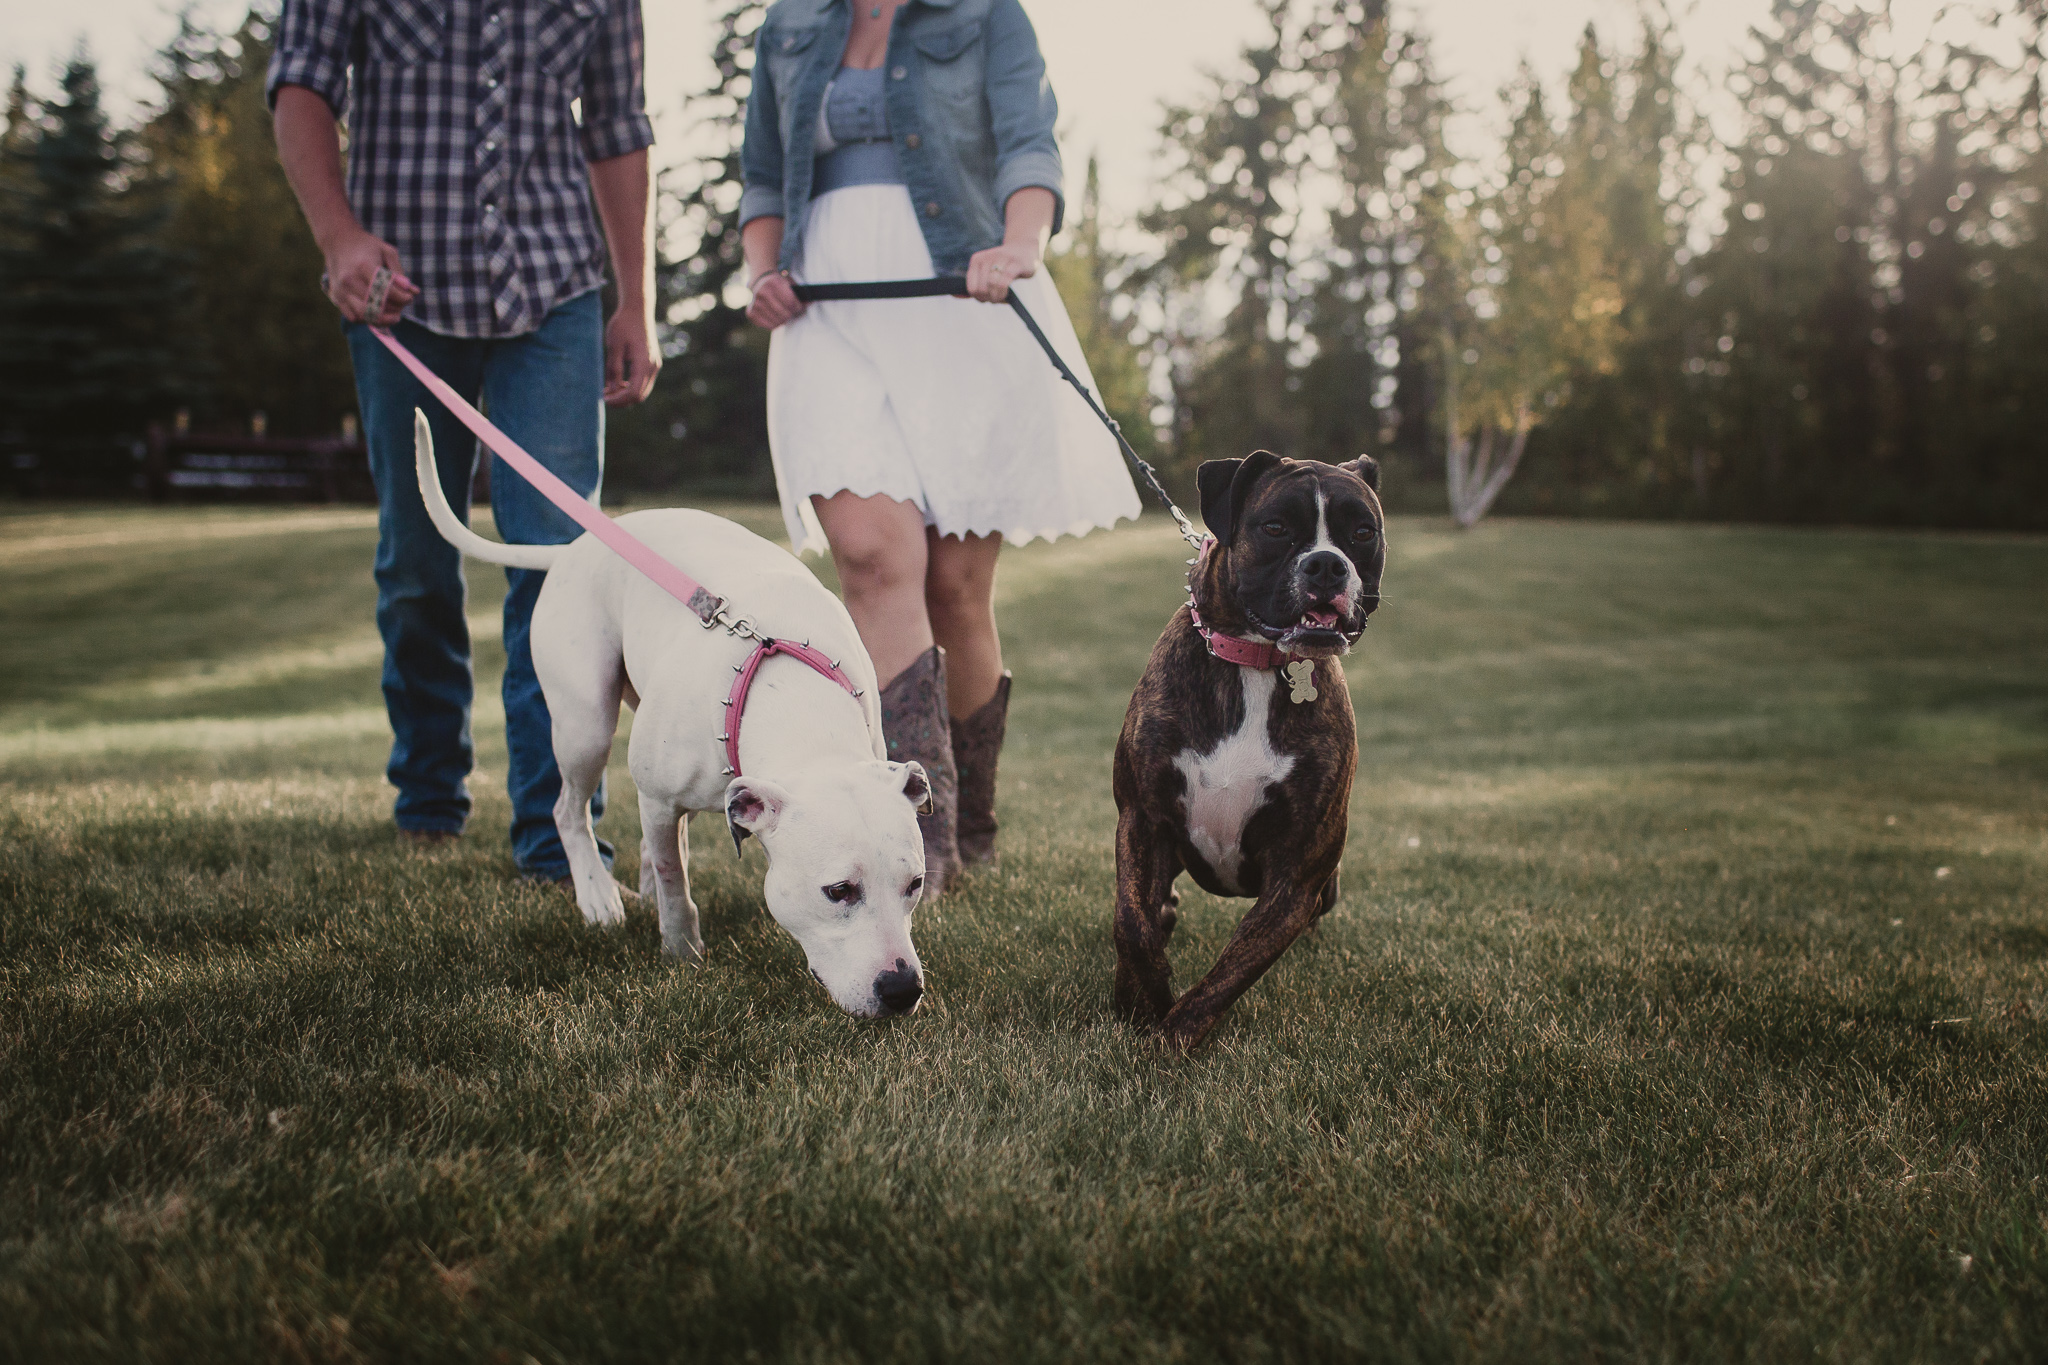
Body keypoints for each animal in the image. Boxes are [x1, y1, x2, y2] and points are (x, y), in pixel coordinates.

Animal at [415, 411, 929, 1019]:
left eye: (915, 885)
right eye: (839, 891)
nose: (903, 989)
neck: (788, 696)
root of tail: (581, 543)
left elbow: (668, 858)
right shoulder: (658, 798)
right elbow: (673, 876)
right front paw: (681, 950)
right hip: (585, 723)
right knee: (569, 810)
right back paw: (598, 897)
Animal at [1114, 454, 1384, 1055]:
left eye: (1363, 533)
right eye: (1276, 527)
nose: (1327, 565)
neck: (1256, 664)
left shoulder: (1296, 877)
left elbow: (1234, 967)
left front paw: (1171, 1036)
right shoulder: (1141, 820)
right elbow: (1133, 924)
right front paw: (1142, 1003)